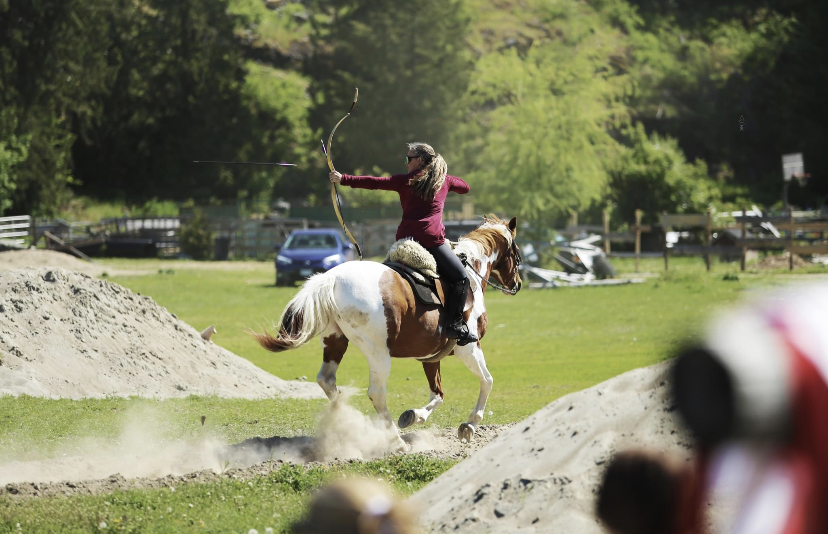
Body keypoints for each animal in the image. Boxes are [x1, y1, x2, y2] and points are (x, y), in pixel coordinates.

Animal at [252, 216, 520, 450]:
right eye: (516, 255)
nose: (516, 284)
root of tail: (332, 278)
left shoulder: (431, 356)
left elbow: (438, 394)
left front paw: (415, 416)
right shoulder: (468, 347)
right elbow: (487, 381)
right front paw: (470, 424)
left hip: (334, 341)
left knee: (326, 380)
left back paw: (349, 421)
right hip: (378, 353)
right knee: (376, 394)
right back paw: (396, 441)